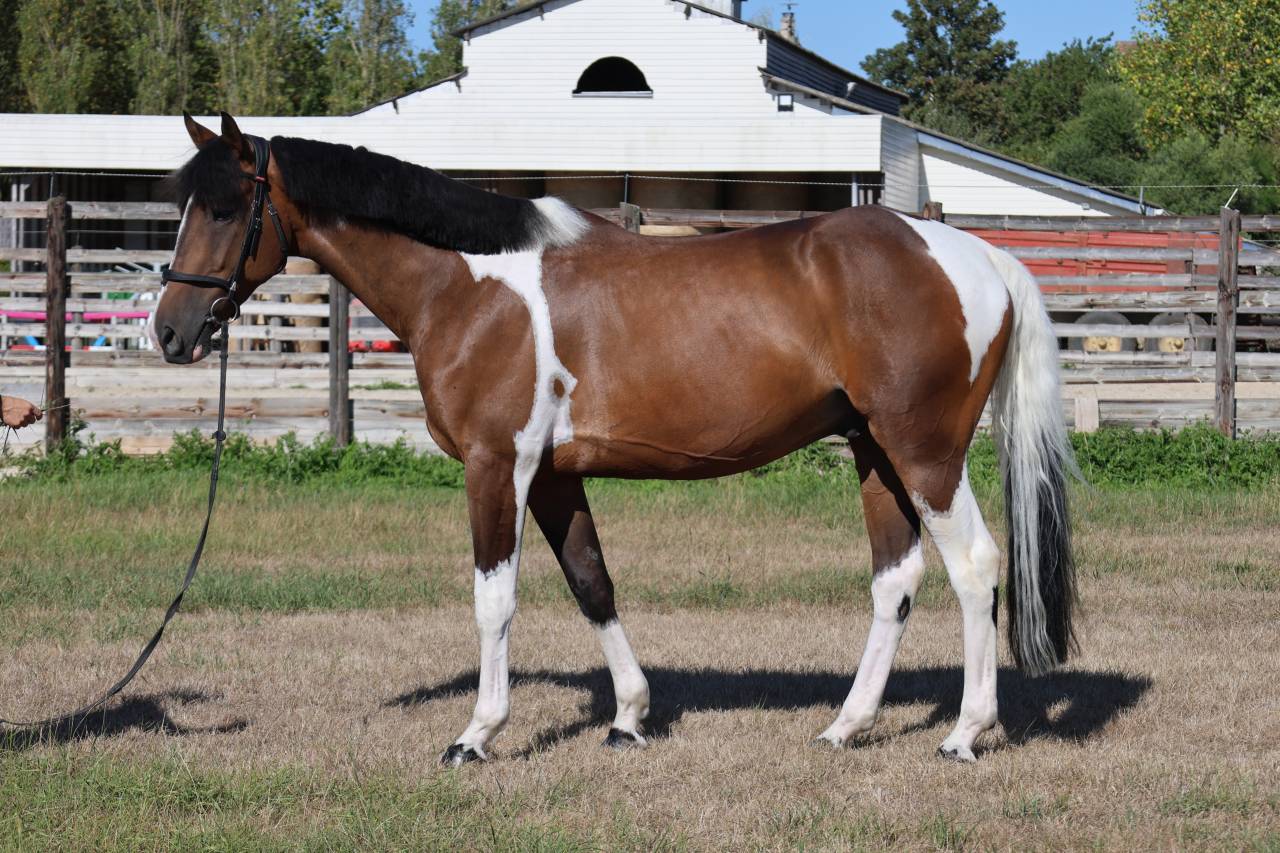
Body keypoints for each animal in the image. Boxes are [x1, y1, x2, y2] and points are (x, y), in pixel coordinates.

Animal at [153, 112, 1078, 766]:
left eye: (228, 209)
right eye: (181, 208)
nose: (170, 332)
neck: (471, 282)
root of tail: (978, 255)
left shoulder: (498, 466)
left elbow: (495, 598)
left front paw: (477, 732)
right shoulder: (555, 476)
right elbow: (592, 582)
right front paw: (630, 717)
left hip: (925, 453)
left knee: (975, 567)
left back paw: (963, 733)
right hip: (874, 452)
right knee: (896, 579)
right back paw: (844, 728)